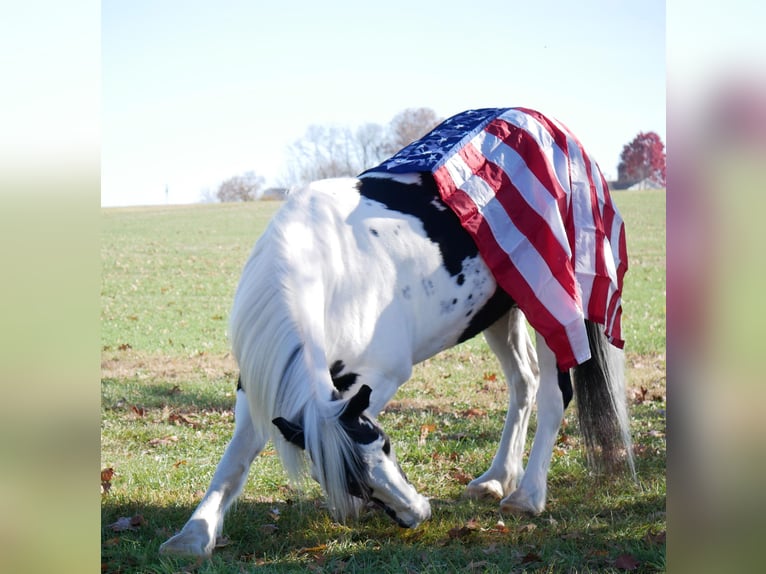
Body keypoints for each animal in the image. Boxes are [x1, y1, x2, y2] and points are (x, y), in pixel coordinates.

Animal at [162, 108, 636, 560]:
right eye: (352, 480)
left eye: (387, 445)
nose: (417, 514)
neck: (322, 270)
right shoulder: (259, 384)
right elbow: (236, 460)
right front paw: (194, 535)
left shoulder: (378, 376)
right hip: (504, 310)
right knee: (525, 383)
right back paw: (496, 479)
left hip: (554, 304)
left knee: (556, 394)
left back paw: (528, 495)